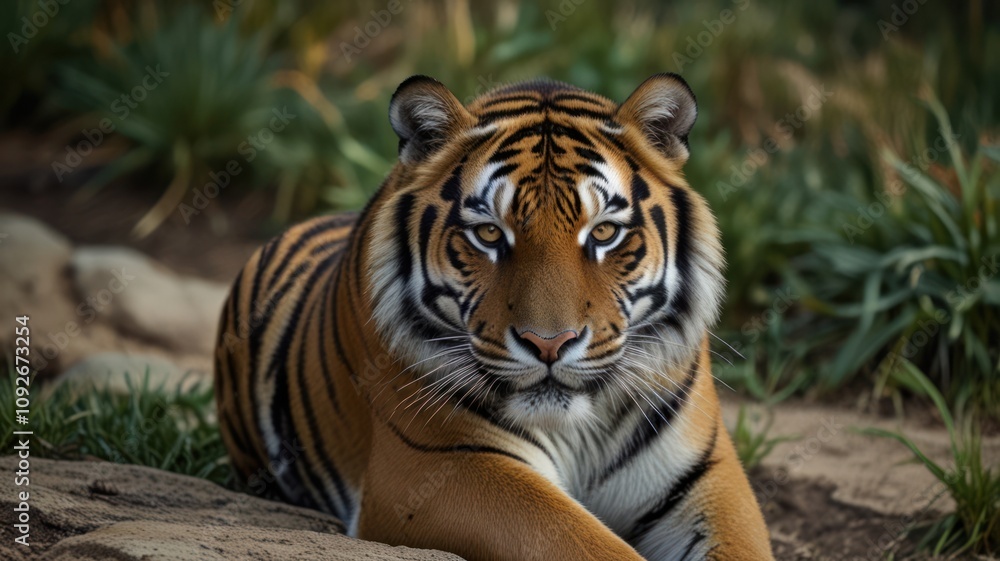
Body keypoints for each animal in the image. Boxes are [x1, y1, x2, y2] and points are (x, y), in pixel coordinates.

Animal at [214, 73, 774, 561]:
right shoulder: (439, 467)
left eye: (603, 232)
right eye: (488, 234)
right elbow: (582, 542)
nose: (549, 344)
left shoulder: (705, 476)